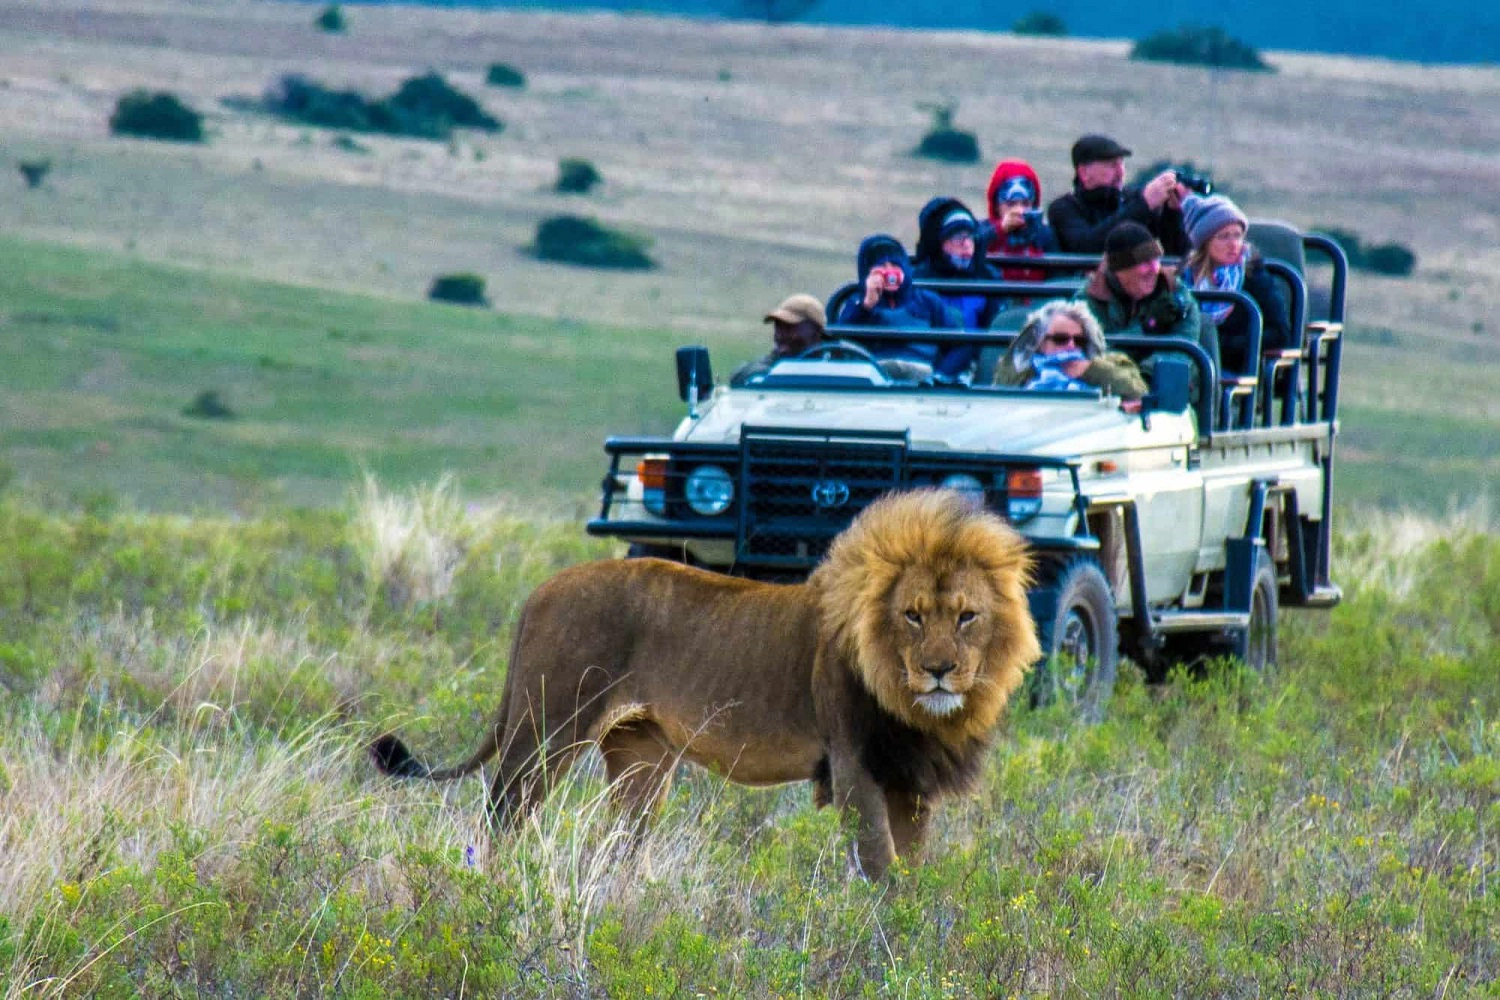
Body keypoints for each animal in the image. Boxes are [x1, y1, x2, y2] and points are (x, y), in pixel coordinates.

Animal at [369, 488, 1038, 881]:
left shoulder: (910, 778)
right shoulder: (855, 767)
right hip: (546, 731)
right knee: (500, 820)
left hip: (640, 756)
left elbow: (915, 873)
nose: (939, 669)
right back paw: (490, 889)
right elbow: (882, 872)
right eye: (913, 615)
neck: (912, 702)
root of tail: (539, 590)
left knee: (617, 845)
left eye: (967, 616)